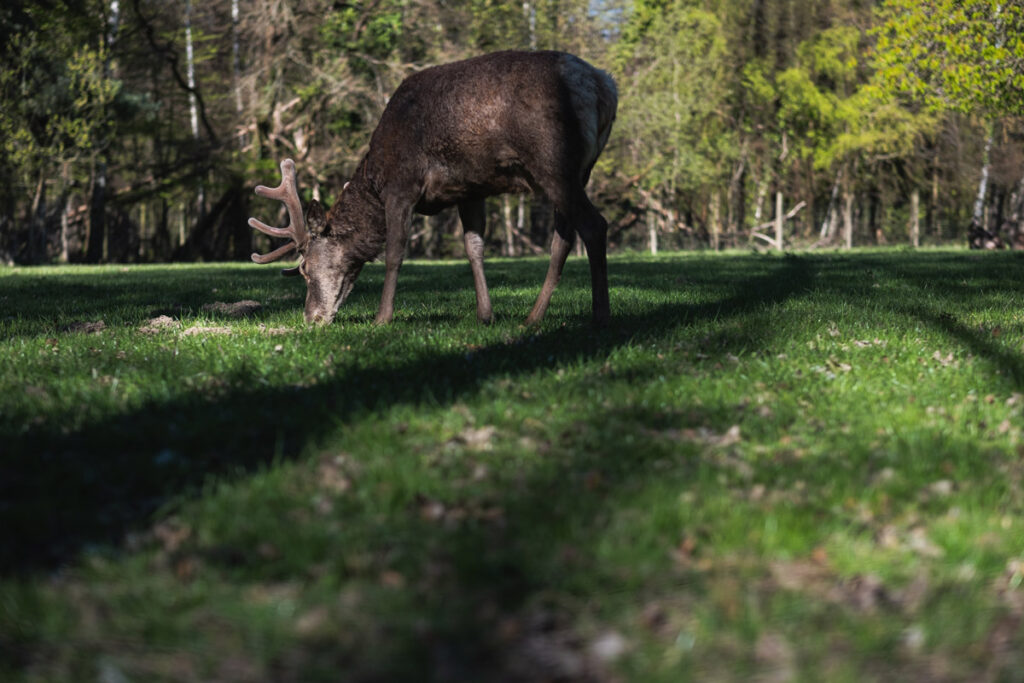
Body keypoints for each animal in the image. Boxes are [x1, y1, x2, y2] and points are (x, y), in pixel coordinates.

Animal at [247, 50, 614, 325]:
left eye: (305, 269)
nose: (311, 318)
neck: (375, 177)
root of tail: (603, 85)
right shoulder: (471, 190)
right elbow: (474, 247)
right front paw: (485, 315)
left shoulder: (402, 186)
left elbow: (395, 252)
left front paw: (382, 318)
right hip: (581, 170)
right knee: (562, 239)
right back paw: (534, 317)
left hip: (553, 160)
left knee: (594, 225)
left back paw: (600, 315)